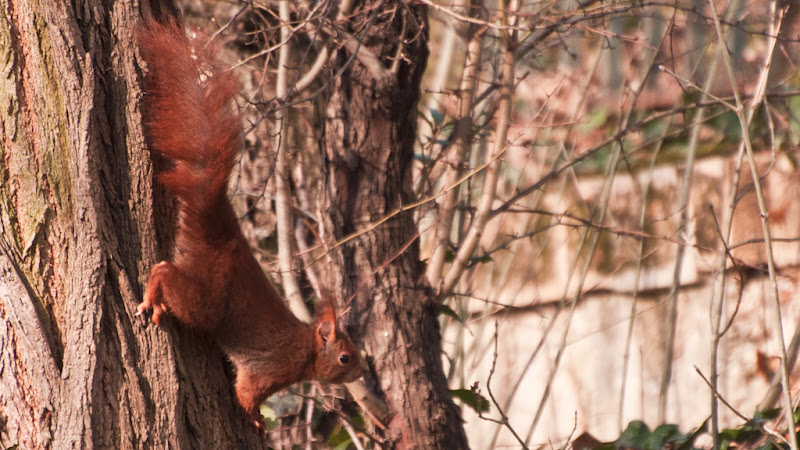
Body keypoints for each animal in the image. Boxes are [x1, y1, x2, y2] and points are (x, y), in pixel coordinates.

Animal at [135, 20, 362, 432]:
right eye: (345, 358)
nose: (361, 374)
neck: (306, 349)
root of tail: (222, 232)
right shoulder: (270, 369)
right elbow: (249, 392)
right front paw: (255, 418)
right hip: (209, 301)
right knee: (166, 274)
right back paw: (153, 297)